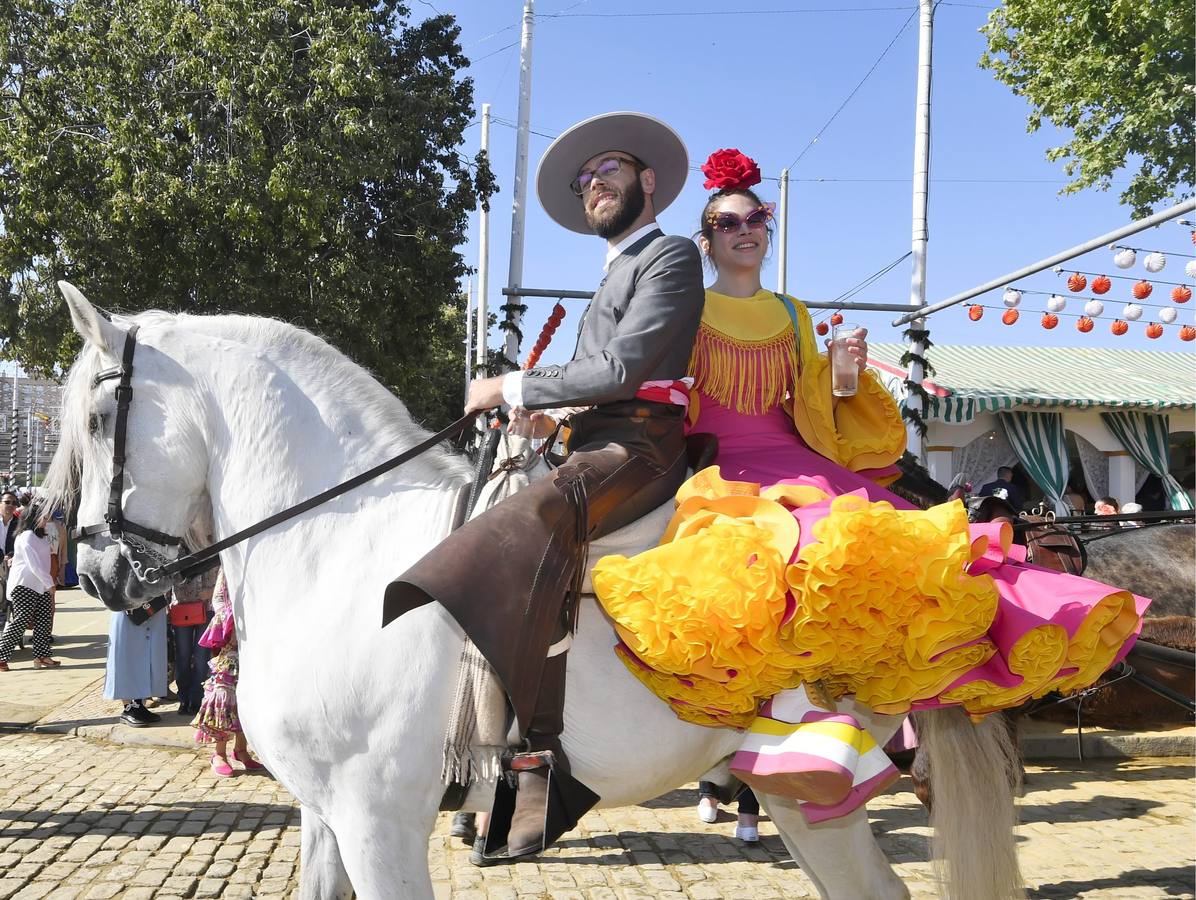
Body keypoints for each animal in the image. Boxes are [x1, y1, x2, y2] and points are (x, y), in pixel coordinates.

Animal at [42, 282, 1023, 898]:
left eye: (96, 415)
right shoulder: (326, 815)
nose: (95, 573)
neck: (335, 549)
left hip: (808, 790)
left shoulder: (376, 817)